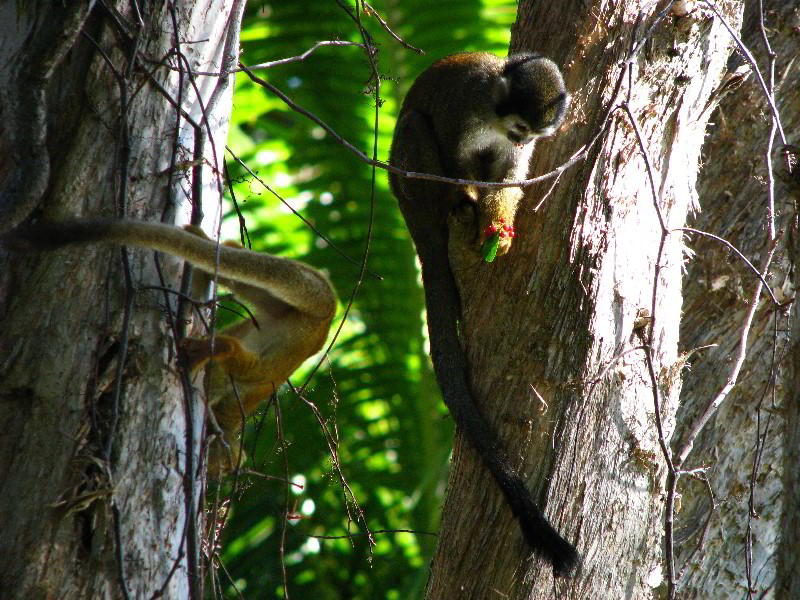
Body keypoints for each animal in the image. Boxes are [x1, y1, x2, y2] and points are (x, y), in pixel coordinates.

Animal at [388, 52, 576, 576]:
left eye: (533, 134)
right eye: (521, 126)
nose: (522, 139)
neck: (495, 109)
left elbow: (510, 174)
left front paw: (498, 225)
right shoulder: (464, 104)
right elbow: (455, 155)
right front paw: (467, 196)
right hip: (407, 187)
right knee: (415, 127)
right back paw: (453, 204)